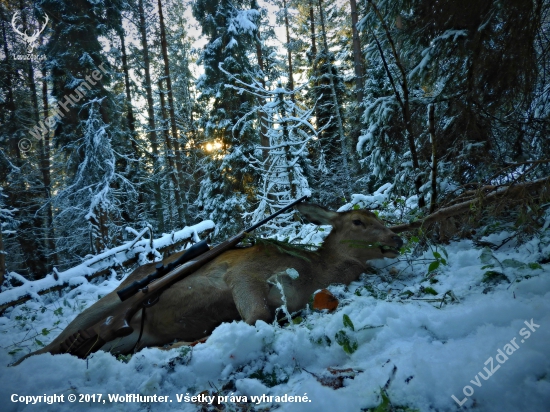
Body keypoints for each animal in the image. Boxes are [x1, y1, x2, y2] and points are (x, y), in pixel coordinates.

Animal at [15, 204, 404, 364]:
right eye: (358, 221)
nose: (396, 238)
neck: (312, 275)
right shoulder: (244, 275)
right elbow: (256, 318)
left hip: (125, 334)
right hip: (105, 304)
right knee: (44, 347)